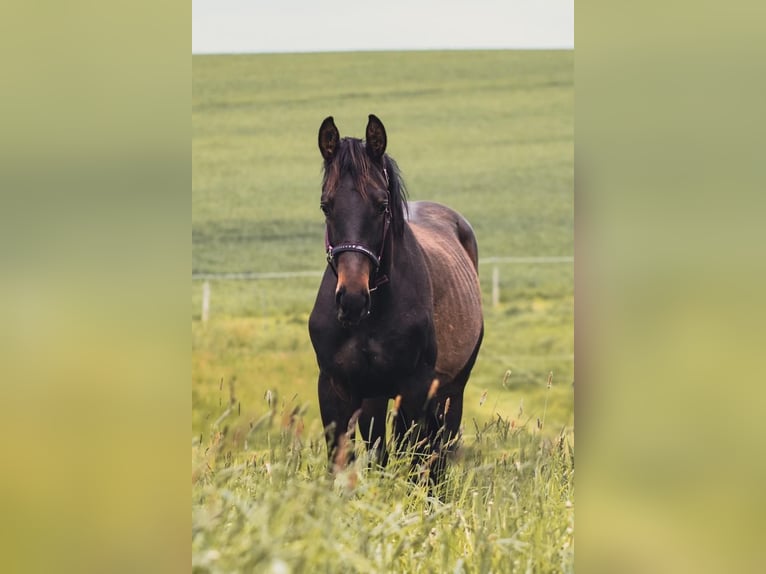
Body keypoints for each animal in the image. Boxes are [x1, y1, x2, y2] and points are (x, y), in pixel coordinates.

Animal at [308, 114, 484, 486]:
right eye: (326, 205)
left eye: (381, 205)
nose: (352, 298)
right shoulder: (336, 388)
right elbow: (343, 460)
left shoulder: (415, 390)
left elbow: (416, 462)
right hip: (376, 396)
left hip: (451, 391)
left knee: (438, 452)